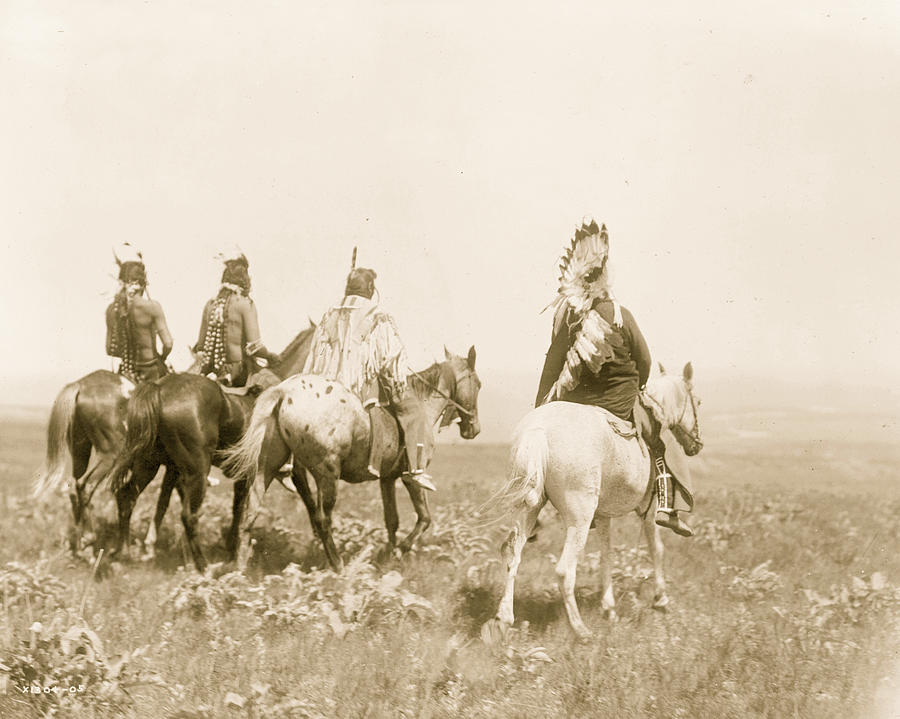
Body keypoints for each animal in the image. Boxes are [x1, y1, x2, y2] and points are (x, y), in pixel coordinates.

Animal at [221, 348, 482, 572]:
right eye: (478, 384)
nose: (474, 429)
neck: (422, 404)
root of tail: (284, 392)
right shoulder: (411, 478)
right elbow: (424, 518)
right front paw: (399, 551)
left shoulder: (387, 478)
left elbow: (392, 520)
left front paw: (387, 556)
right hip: (327, 474)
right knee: (322, 518)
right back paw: (338, 565)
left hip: (266, 468)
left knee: (250, 512)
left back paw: (239, 565)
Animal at [486, 366, 704, 640]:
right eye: (698, 402)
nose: (696, 445)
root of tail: (538, 431)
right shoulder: (649, 508)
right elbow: (657, 549)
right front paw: (661, 600)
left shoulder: (603, 515)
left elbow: (605, 554)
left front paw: (608, 608)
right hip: (579, 518)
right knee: (564, 570)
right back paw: (580, 630)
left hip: (527, 509)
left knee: (512, 554)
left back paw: (504, 619)